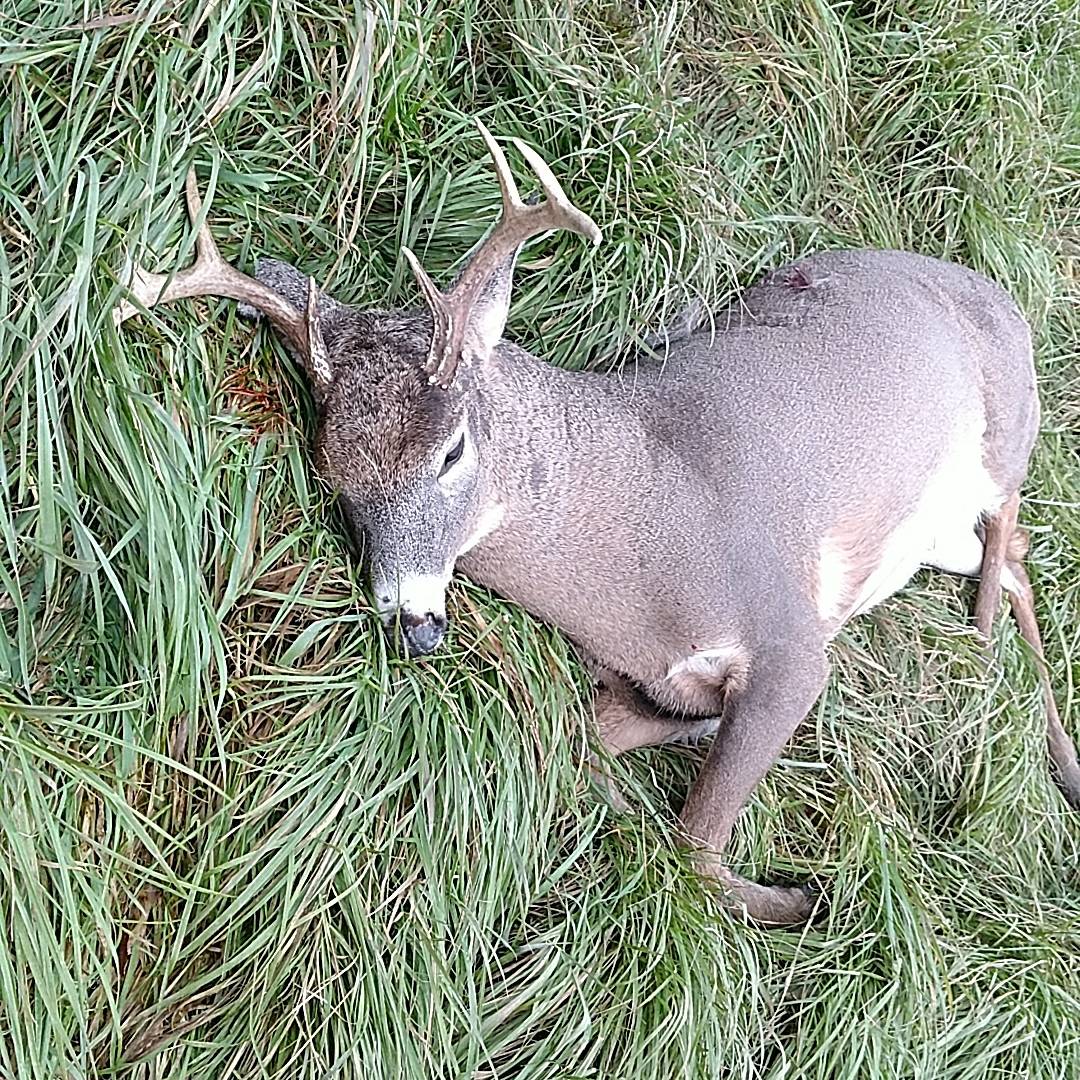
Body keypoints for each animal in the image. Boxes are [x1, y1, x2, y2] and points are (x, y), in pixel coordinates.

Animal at [115, 121, 1080, 925]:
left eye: (452, 450)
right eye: (335, 479)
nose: (411, 621)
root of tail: (1008, 301)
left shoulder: (791, 642)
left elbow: (695, 847)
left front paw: (808, 896)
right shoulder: (653, 677)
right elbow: (589, 740)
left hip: (1008, 426)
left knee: (1013, 527)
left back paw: (998, 663)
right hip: (934, 532)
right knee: (1016, 555)